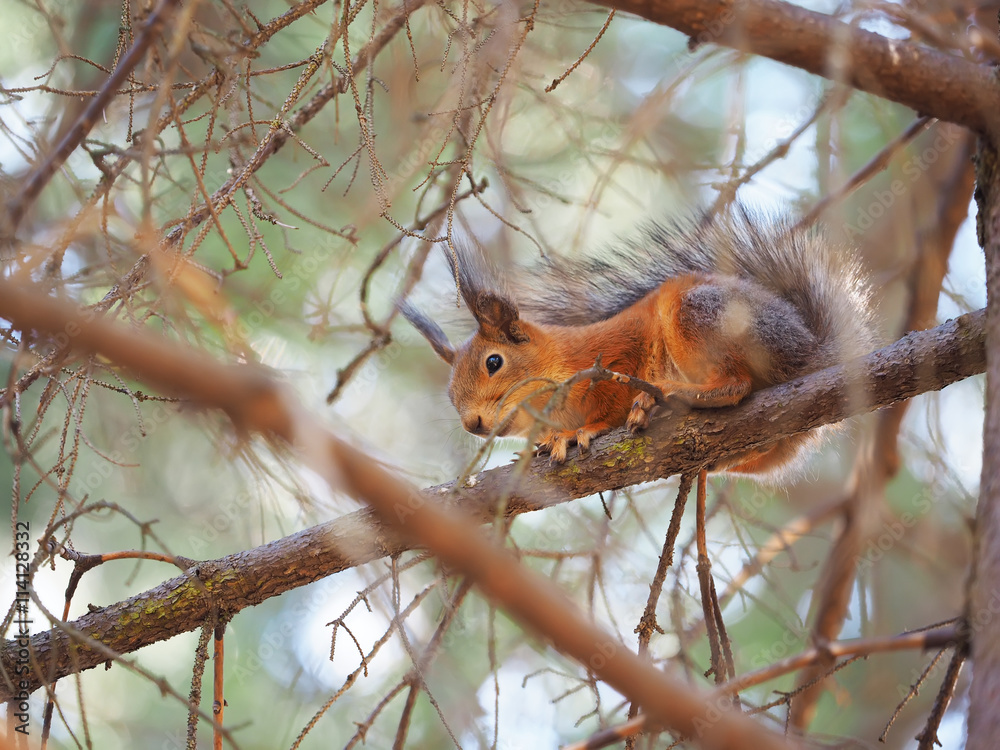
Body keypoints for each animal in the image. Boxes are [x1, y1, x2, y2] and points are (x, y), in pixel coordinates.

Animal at [401, 207, 878, 475]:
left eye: (494, 362)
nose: (472, 424)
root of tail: (810, 351)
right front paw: (542, 444)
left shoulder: (615, 356)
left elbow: (608, 405)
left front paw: (578, 432)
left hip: (695, 314)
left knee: (736, 384)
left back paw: (669, 395)